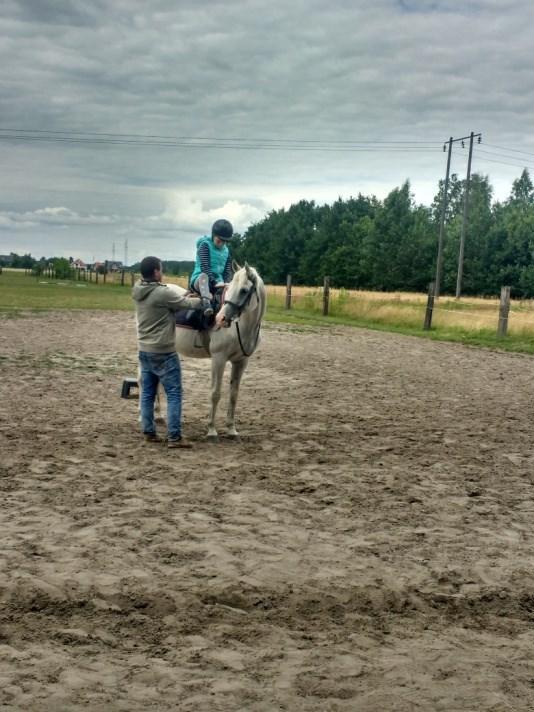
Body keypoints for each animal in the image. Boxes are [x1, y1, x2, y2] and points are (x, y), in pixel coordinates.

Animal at [165, 262, 266, 440]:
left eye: (244, 290)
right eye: (230, 287)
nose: (221, 319)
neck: (241, 327)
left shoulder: (241, 362)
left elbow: (233, 394)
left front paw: (231, 429)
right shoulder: (219, 359)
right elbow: (215, 393)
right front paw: (211, 430)